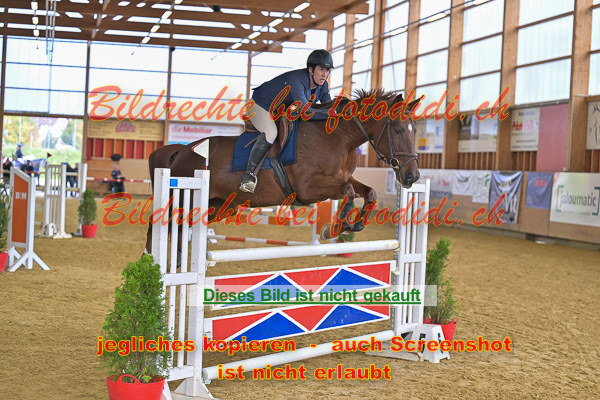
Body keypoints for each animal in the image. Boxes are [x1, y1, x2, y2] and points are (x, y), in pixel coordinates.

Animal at [145, 88, 421, 253]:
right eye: (397, 129)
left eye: (415, 130)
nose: (413, 176)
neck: (339, 137)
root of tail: (184, 149)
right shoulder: (310, 187)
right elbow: (349, 192)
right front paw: (332, 229)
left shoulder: (341, 177)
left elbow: (369, 192)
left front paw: (352, 226)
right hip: (182, 195)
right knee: (159, 225)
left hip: (220, 205)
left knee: (183, 228)